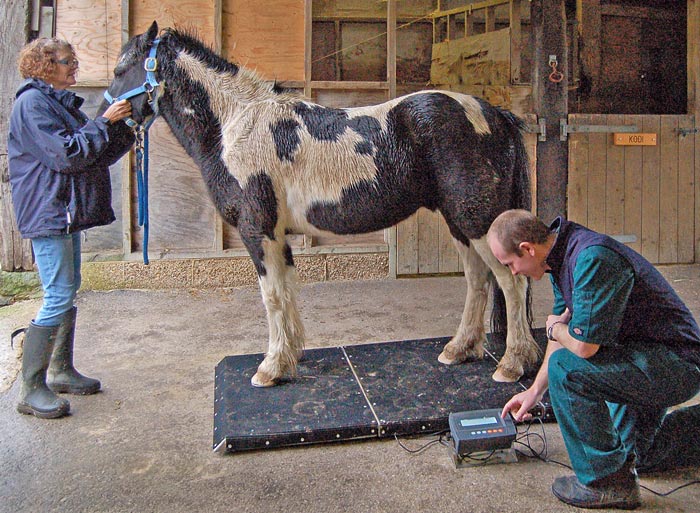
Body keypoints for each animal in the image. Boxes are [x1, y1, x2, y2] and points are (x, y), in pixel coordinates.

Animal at [105, 23, 540, 384]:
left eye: (120, 69)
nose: (106, 114)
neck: (234, 125)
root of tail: (495, 115)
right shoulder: (277, 237)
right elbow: (286, 293)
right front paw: (289, 357)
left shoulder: (258, 231)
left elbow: (271, 296)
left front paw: (269, 369)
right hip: (460, 222)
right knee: (478, 280)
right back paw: (459, 349)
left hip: (478, 220)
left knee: (511, 282)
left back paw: (512, 363)